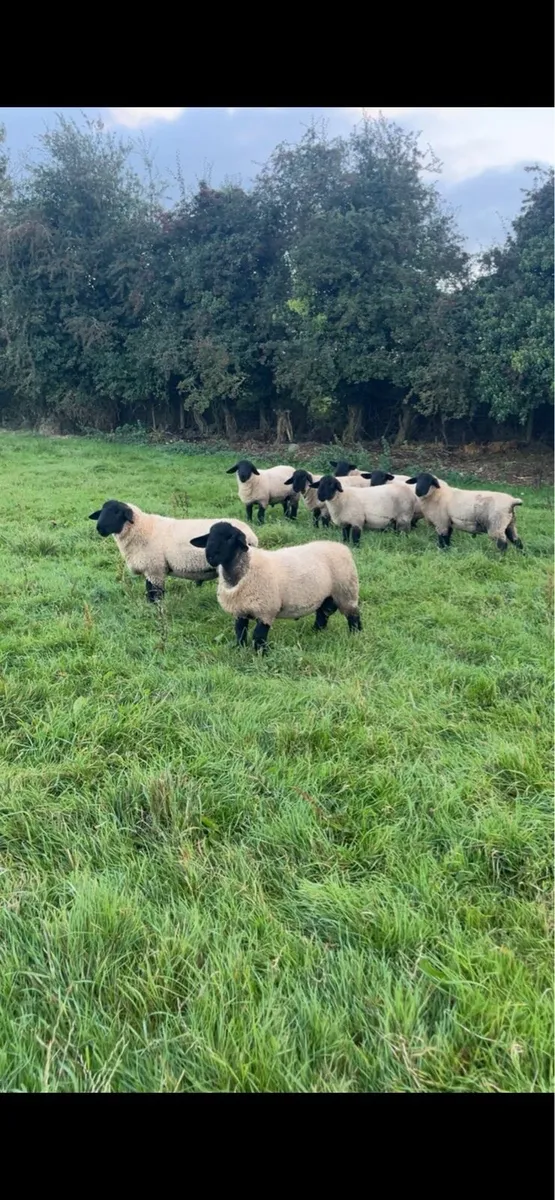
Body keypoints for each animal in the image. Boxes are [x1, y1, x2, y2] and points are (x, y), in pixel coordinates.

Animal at [88, 499, 258, 602]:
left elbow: (154, 593)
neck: (143, 529)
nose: (99, 528)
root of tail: (252, 535)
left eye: (117, 512)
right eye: (101, 511)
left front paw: (155, 608)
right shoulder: (151, 570)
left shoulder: (155, 569)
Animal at [190, 520, 362, 653]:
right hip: (327, 594)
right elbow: (240, 631)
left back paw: (356, 635)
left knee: (353, 615)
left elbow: (259, 635)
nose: (210, 556)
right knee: (323, 614)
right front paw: (239, 649)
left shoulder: (266, 610)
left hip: (346, 591)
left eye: (230, 537)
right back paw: (316, 632)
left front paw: (260, 654)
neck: (245, 569)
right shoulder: (240, 610)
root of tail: (340, 546)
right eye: (209, 536)